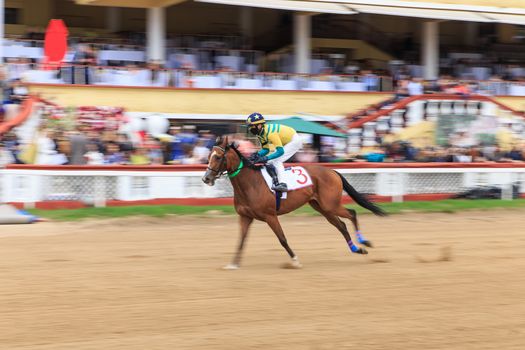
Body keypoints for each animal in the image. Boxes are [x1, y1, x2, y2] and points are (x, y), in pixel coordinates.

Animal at [201, 136, 384, 268]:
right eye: (208, 157)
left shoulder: (270, 216)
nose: (206, 178)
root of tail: (332, 171)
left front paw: (295, 260)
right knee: (341, 225)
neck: (251, 184)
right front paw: (233, 264)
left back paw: (364, 242)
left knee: (352, 214)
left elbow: (282, 239)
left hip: (330, 204)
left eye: (218, 157)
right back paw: (357, 249)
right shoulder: (245, 217)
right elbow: (241, 240)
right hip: (322, 208)